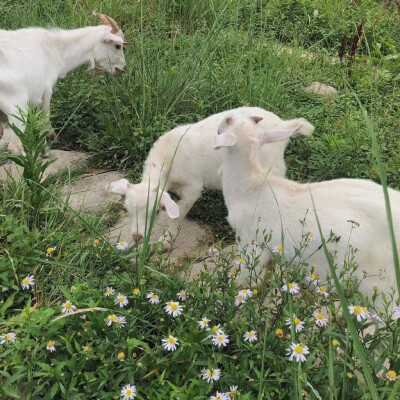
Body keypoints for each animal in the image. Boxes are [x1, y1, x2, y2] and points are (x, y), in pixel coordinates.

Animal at [0, 12, 128, 153]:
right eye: (118, 46)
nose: (123, 68)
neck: (55, 49)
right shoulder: (46, 90)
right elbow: (44, 118)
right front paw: (45, 149)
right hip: (17, 105)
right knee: (15, 146)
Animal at [108, 108, 314, 248]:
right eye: (126, 209)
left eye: (157, 211)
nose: (137, 237)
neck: (168, 157)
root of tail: (283, 126)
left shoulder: (192, 187)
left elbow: (179, 214)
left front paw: (165, 242)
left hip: (273, 166)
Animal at [214, 112, 400, 310]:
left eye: (228, 121)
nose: (220, 125)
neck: (252, 187)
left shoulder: (250, 243)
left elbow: (242, 282)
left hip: (381, 283)